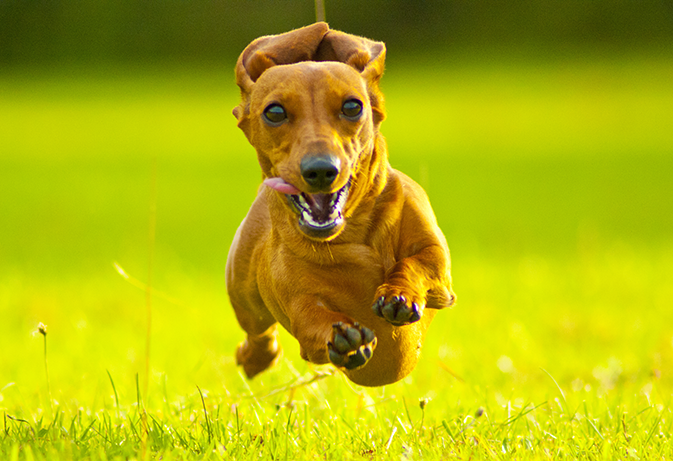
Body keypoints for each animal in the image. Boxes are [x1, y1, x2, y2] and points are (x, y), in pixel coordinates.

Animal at [228, 23, 454, 386]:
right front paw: (345, 340)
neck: (351, 235)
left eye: (352, 107)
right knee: (259, 333)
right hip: (244, 297)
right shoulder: (300, 307)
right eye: (274, 112)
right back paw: (255, 358)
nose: (321, 169)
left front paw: (399, 294)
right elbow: (313, 322)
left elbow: (417, 263)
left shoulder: (438, 266)